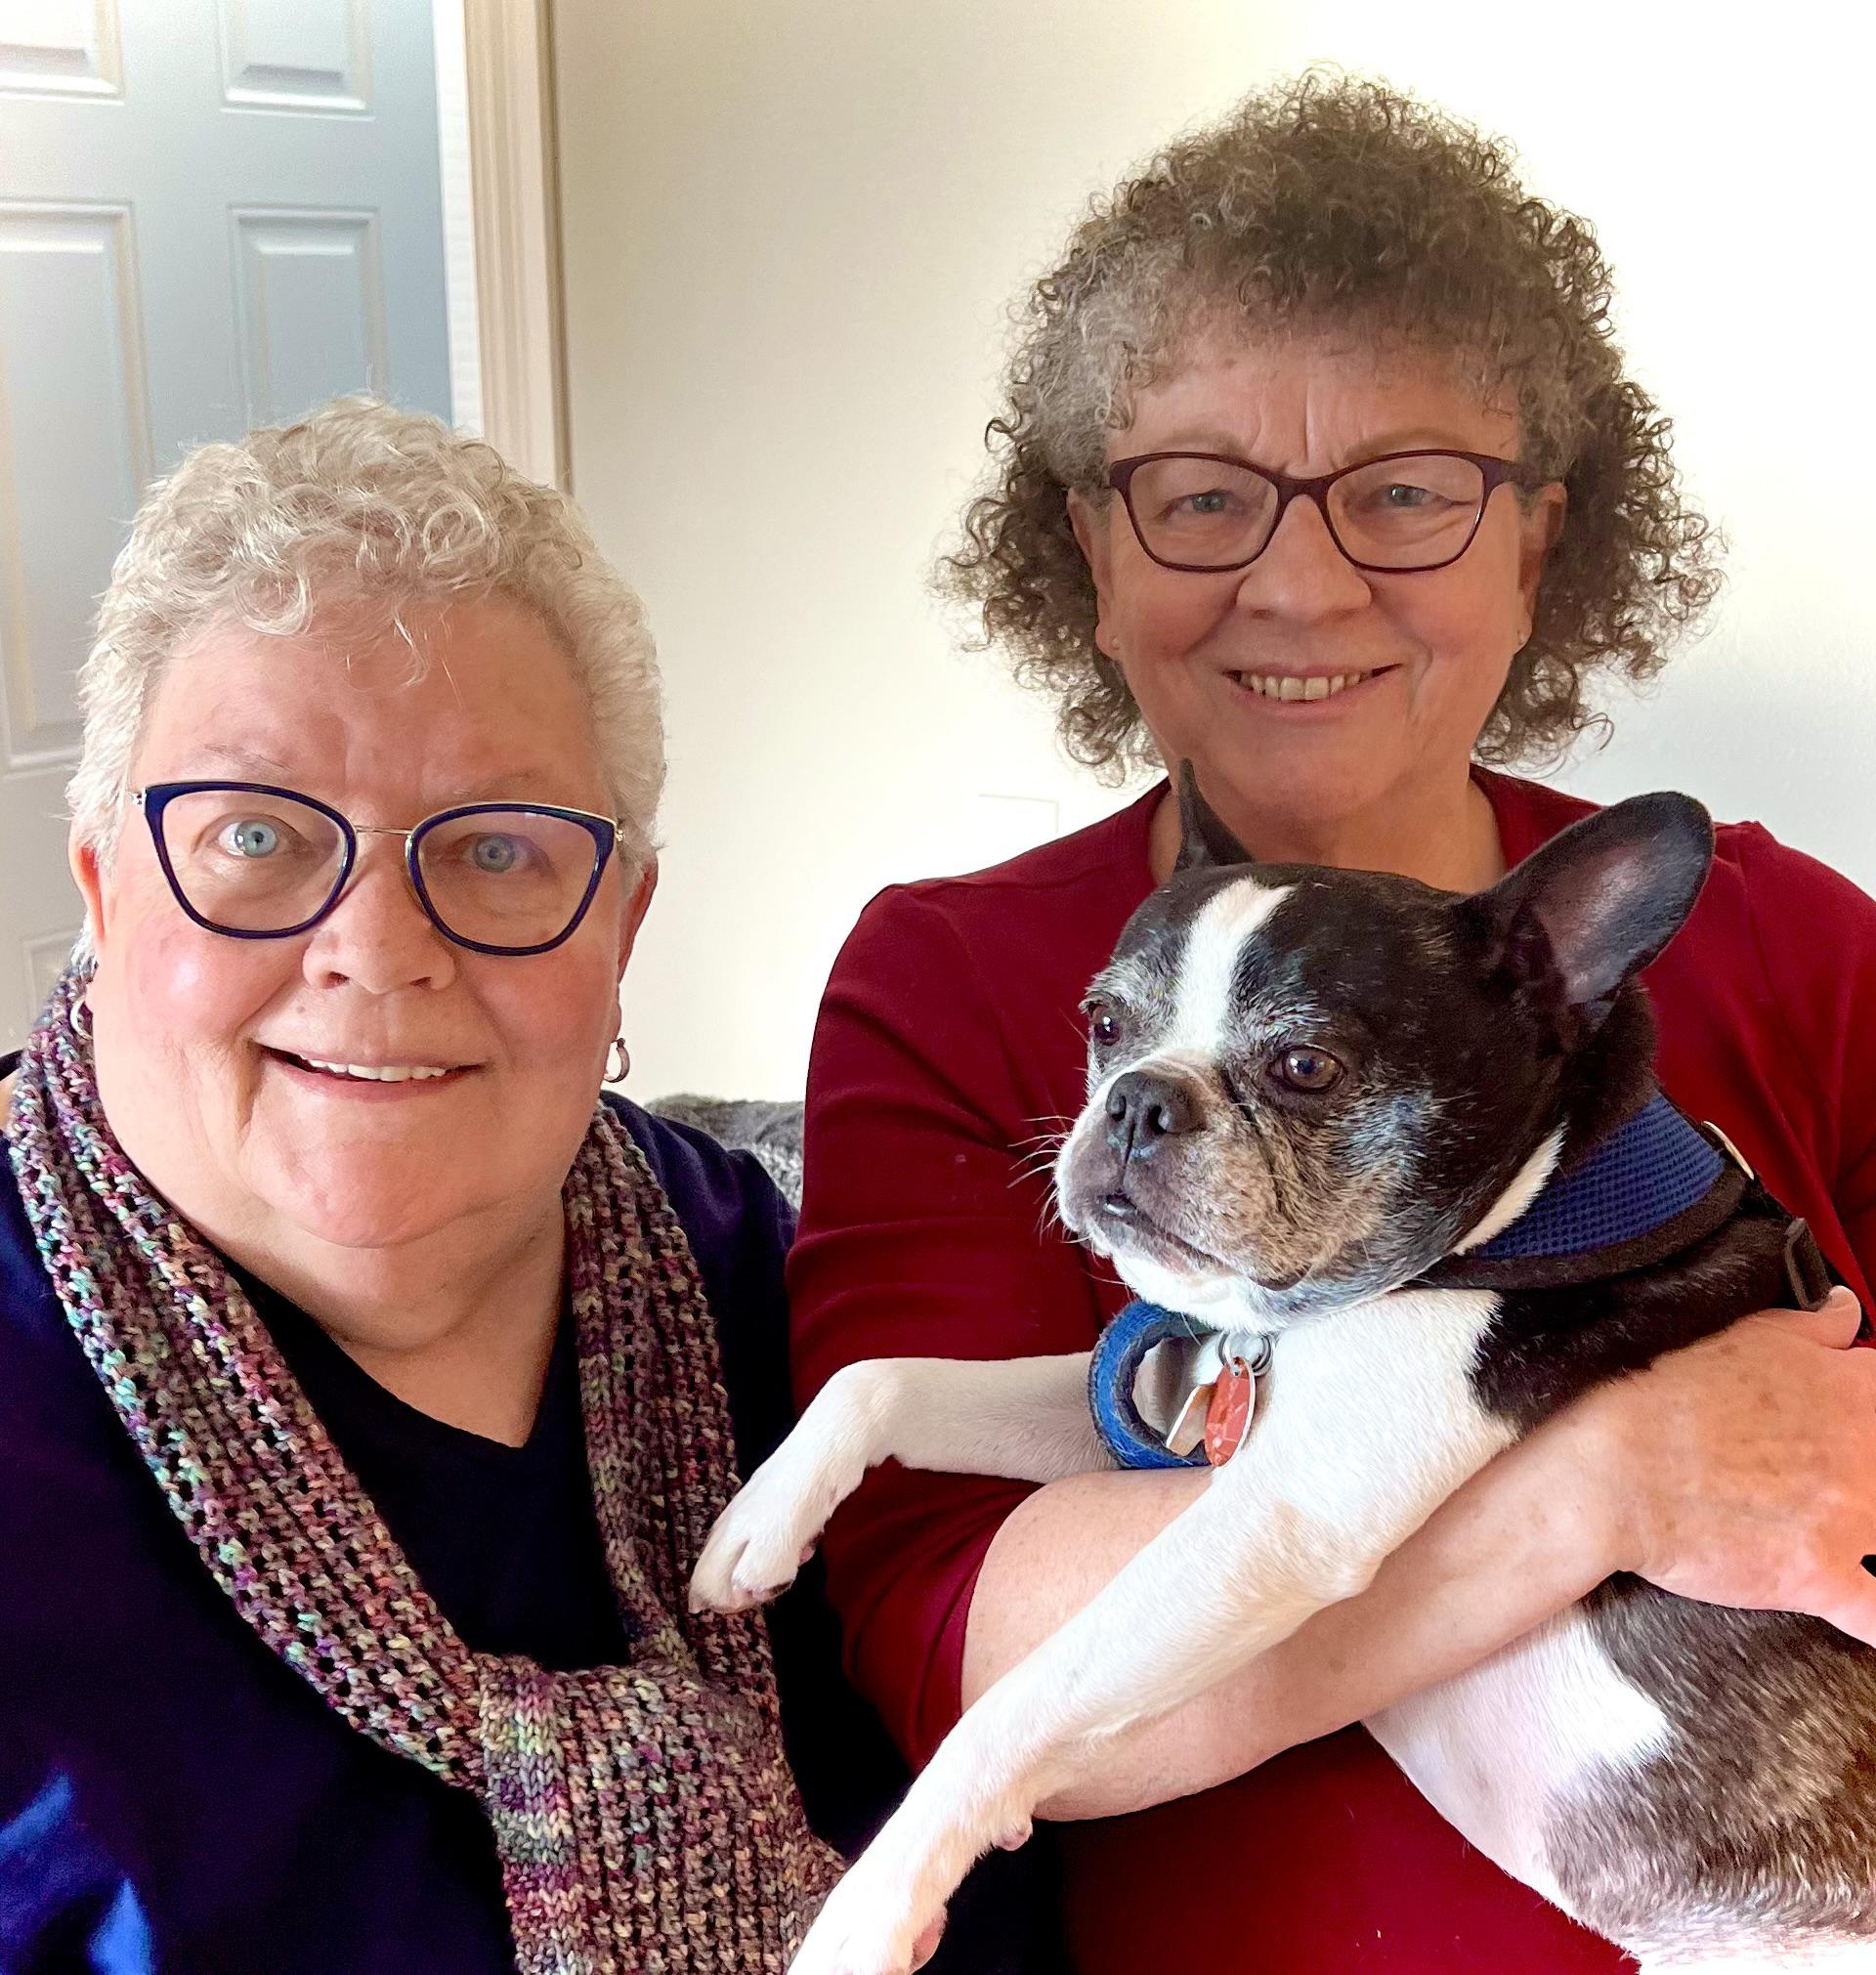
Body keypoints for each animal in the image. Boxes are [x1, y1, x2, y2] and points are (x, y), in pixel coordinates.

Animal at [695, 774, 1876, 1974]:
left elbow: (1019, 1700)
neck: (1544, 1203)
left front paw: (876, 1901)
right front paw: (755, 1525)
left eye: (1305, 1067)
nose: (1135, 1098)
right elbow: (884, 1375)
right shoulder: (1150, 1415)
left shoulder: (1285, 1510)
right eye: (1104, 1024)